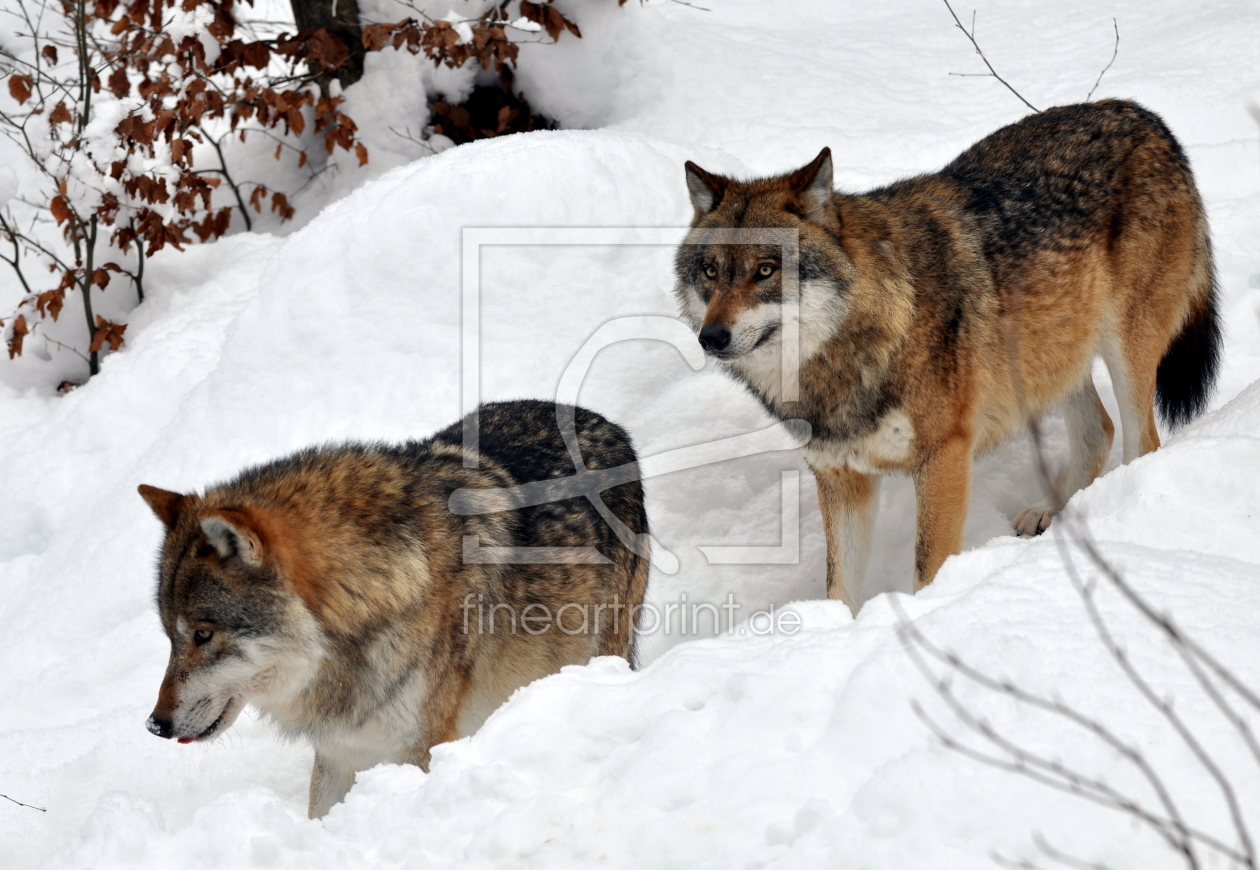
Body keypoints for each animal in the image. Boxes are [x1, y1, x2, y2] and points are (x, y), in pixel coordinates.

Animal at [137, 400, 650, 812]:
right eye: (170, 636)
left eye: (203, 634)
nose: (155, 725)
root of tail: (606, 424)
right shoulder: (340, 753)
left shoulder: (420, 750)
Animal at [680, 98, 1219, 607]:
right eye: (711, 271)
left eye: (766, 270)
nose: (711, 338)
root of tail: (1144, 116)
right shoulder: (839, 477)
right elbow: (840, 588)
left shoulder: (944, 455)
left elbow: (928, 565)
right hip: (1049, 358)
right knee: (1097, 432)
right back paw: (1052, 514)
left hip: (1124, 352)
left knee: (1141, 442)